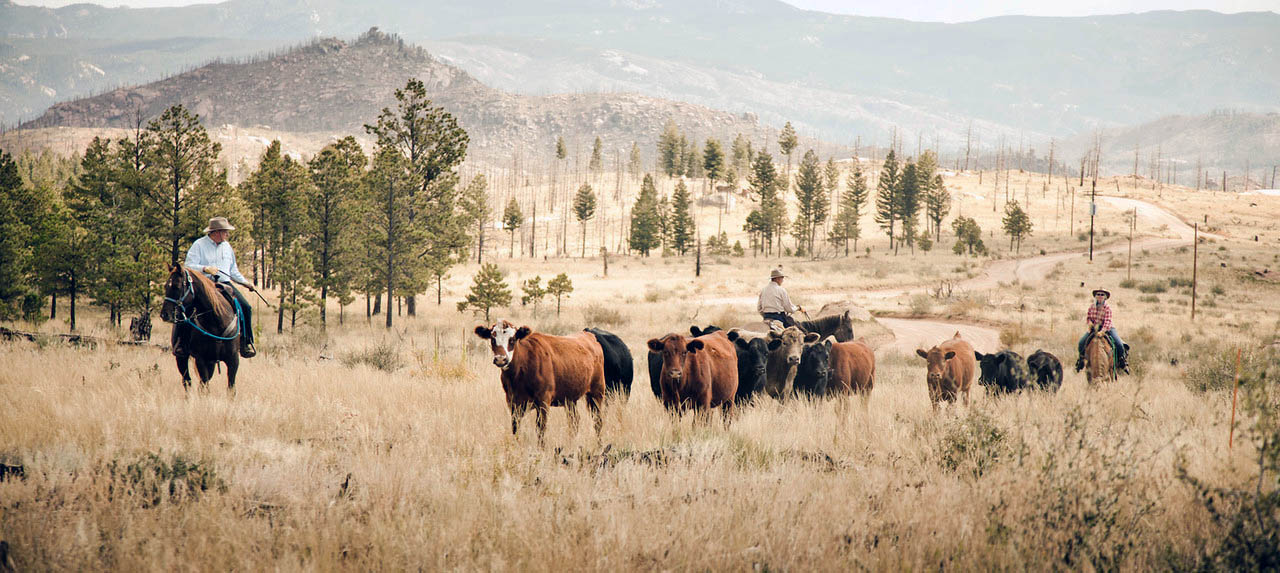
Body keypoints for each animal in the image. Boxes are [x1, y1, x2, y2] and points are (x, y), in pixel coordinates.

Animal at [475, 320, 606, 445]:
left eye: (512, 339)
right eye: (493, 339)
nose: (501, 359)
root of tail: (589, 335)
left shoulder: (543, 400)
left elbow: (540, 429)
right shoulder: (512, 402)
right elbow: (515, 429)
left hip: (597, 392)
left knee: (597, 421)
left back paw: (599, 445)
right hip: (570, 398)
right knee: (574, 421)